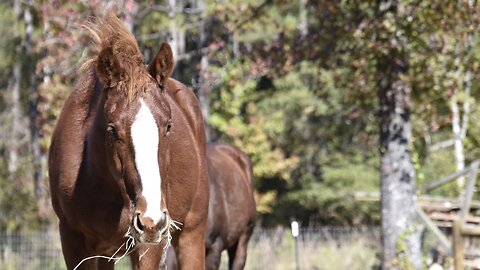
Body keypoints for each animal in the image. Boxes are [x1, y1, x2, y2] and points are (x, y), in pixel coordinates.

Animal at [47, 11, 209, 268]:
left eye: (169, 126)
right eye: (112, 129)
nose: (151, 219)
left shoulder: (147, 247)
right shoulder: (74, 242)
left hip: (192, 233)